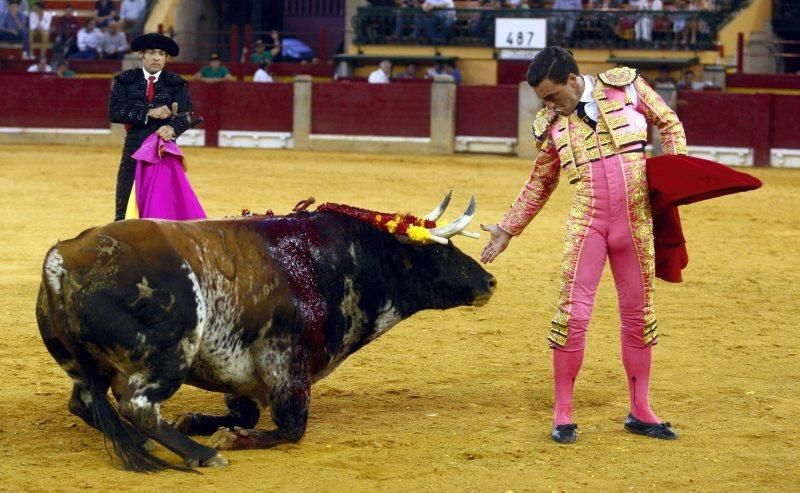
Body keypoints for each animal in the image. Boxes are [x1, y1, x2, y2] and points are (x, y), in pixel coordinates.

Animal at [40, 194, 496, 470]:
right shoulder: (288, 367)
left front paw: (197, 419)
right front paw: (231, 438)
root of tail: (63, 258)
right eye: (438, 252)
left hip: (87, 365)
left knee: (84, 401)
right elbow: (290, 428)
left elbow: (243, 411)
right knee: (138, 406)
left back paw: (147, 443)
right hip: (168, 354)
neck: (327, 262)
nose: (489, 281)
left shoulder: (239, 372)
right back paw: (201, 454)